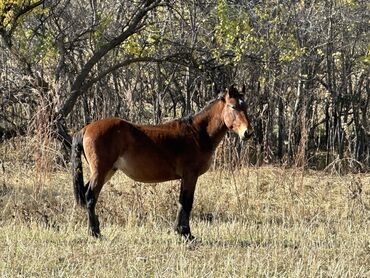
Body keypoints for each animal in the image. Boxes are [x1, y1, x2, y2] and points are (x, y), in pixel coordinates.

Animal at [71, 84, 253, 239]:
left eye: (246, 107)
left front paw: (180, 231)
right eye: (233, 107)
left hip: (108, 171)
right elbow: (186, 202)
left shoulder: (186, 177)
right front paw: (186, 234)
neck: (197, 133)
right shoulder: (190, 175)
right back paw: (95, 233)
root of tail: (86, 128)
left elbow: (182, 202)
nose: (248, 133)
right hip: (101, 171)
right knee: (90, 196)